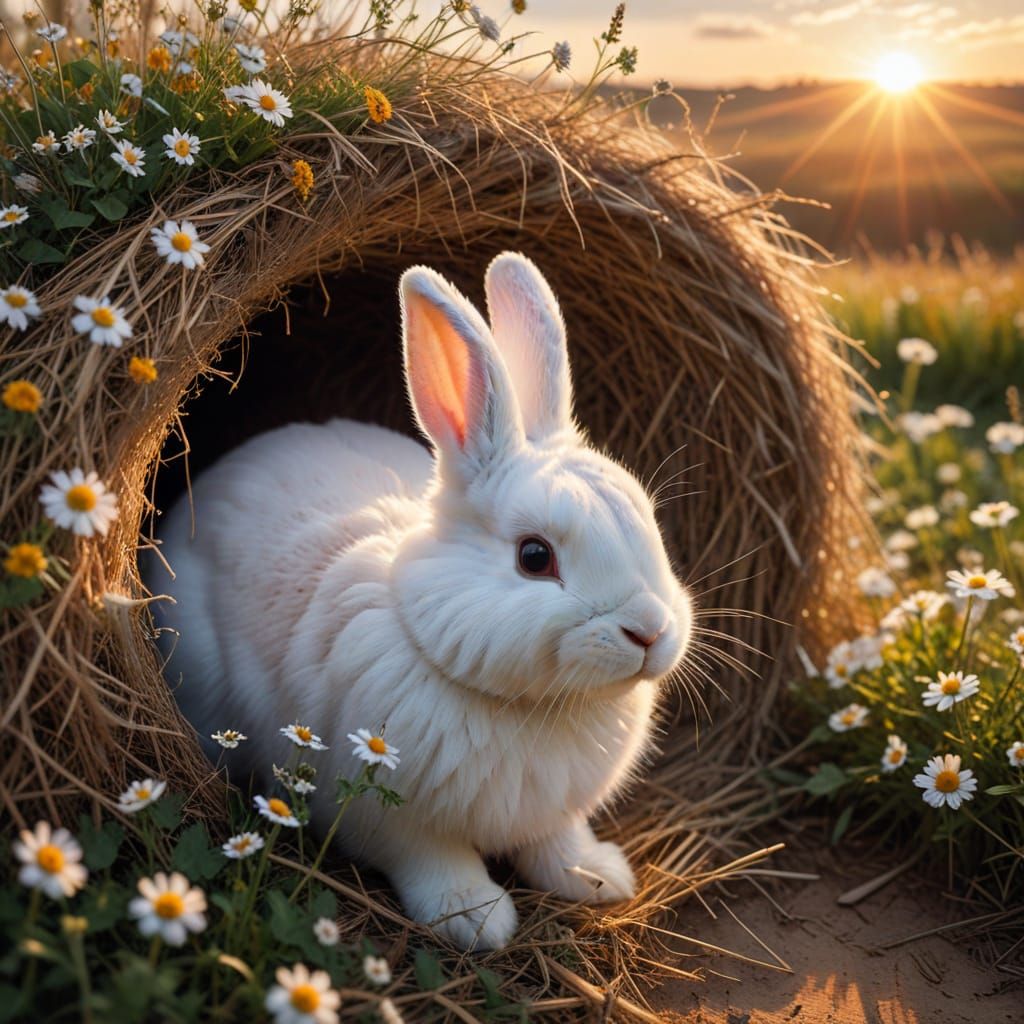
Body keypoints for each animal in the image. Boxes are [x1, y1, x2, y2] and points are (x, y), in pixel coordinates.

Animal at [149, 252, 693, 951]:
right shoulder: (390, 818)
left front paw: (598, 877)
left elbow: (556, 843)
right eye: (535, 557)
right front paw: (475, 918)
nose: (649, 631)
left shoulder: (554, 814)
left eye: (647, 521)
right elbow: (434, 859)